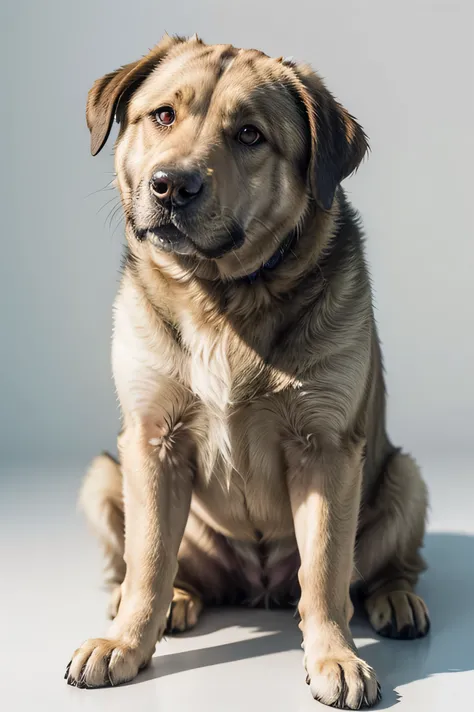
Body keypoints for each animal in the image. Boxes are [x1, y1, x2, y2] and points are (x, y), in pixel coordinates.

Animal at [65, 36, 432, 708]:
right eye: (162, 115)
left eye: (250, 134)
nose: (171, 185)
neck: (222, 299)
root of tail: (257, 586)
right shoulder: (150, 439)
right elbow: (148, 558)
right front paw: (126, 643)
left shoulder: (326, 449)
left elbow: (326, 571)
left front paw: (335, 656)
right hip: (105, 475)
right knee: (159, 567)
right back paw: (175, 599)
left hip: (405, 477)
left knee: (380, 569)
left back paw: (396, 599)